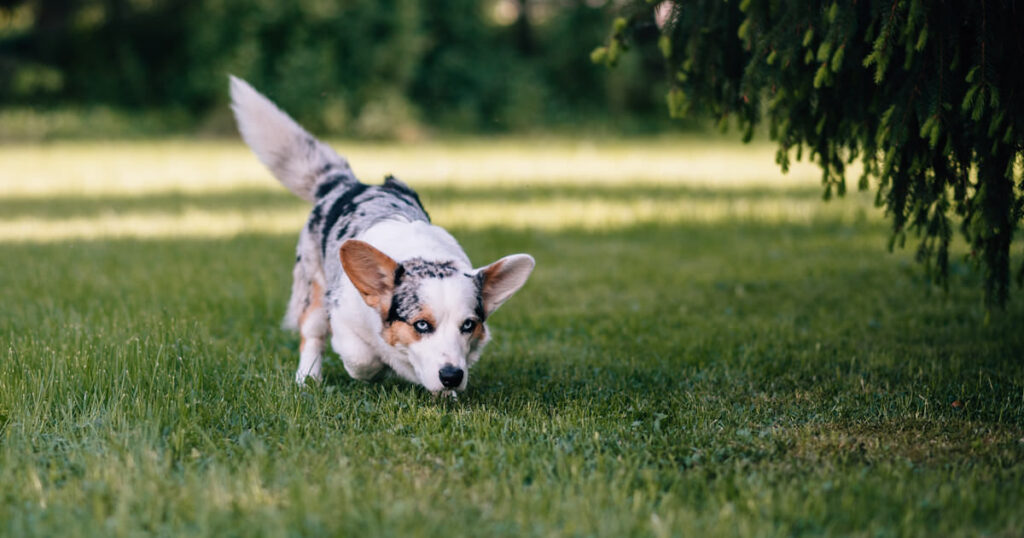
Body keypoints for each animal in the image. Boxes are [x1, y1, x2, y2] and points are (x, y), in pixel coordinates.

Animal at [228, 76, 536, 393]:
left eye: (468, 325)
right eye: (421, 325)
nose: (452, 376)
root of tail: (346, 184)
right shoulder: (343, 320)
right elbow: (362, 359)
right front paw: (377, 370)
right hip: (313, 290)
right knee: (312, 336)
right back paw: (307, 378)